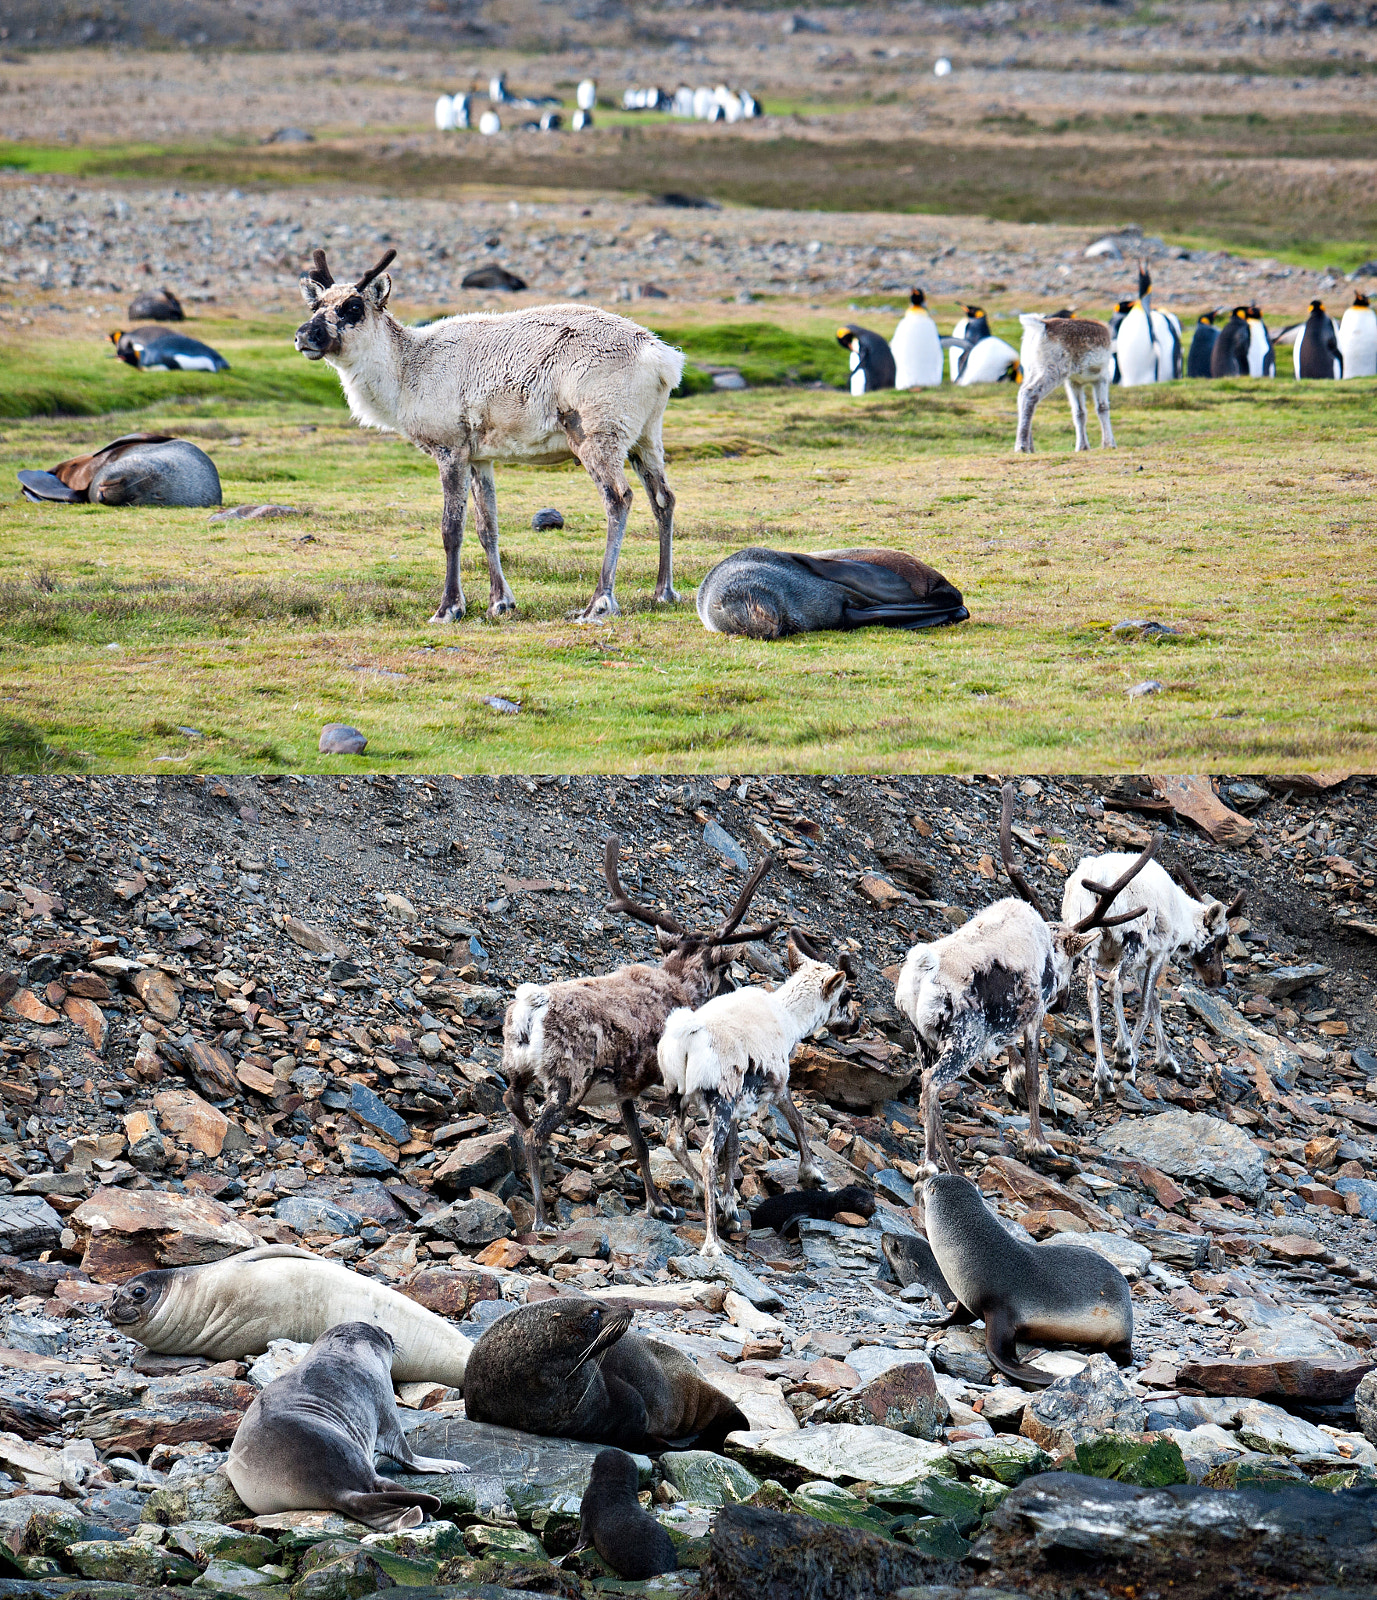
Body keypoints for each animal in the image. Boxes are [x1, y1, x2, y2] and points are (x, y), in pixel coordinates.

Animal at [1017, 313, 1113, 454]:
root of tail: (1042, 325)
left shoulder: (1073, 382)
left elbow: (1079, 412)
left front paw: (1082, 447)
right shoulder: (1102, 377)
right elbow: (1102, 408)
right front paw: (1109, 444)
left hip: (1032, 370)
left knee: (1021, 393)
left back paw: (1031, 447)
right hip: (1052, 371)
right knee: (1029, 393)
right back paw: (1022, 446)